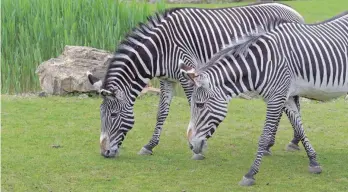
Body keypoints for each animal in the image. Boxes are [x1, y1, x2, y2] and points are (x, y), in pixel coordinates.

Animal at [86, 2, 304, 159]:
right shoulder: (167, 79)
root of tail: (294, 12)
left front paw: (198, 147)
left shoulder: (189, 74)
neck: (159, 49)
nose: (104, 153)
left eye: (113, 115)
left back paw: (289, 142)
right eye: (101, 115)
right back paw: (278, 143)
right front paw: (149, 145)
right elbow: (161, 113)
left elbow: (194, 106)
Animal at [179, 11, 348, 186]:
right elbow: (299, 125)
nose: (191, 145)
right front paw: (313, 161)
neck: (262, 64)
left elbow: (264, 136)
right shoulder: (286, 97)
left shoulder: (276, 98)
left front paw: (250, 174)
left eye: (199, 105)